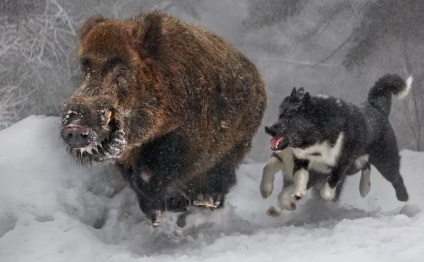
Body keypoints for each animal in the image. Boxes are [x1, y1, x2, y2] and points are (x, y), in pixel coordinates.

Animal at [262, 74, 410, 215]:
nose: (268, 129)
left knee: (397, 179)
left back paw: (403, 198)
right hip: (357, 164)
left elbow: (325, 192)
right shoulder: (300, 162)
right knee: (366, 166)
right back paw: (365, 188)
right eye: (280, 115)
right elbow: (293, 181)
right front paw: (285, 198)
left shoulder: (338, 166)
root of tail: (376, 107)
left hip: (385, 162)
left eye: (290, 118)